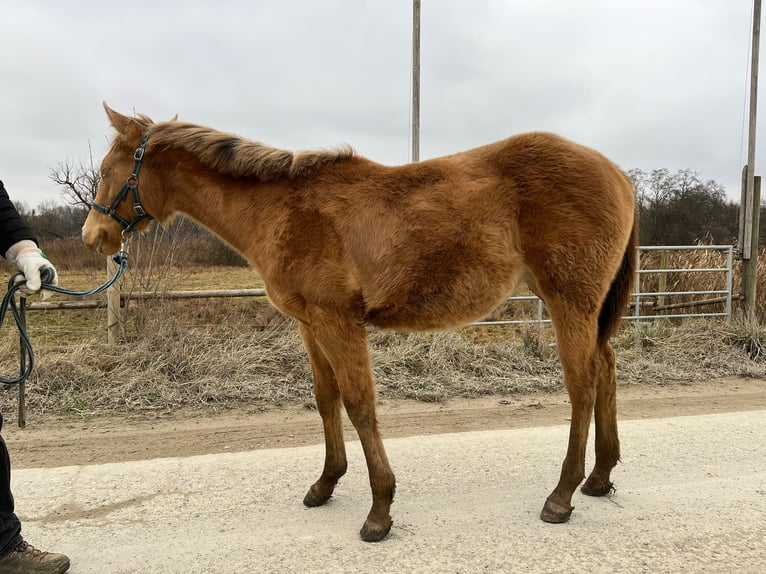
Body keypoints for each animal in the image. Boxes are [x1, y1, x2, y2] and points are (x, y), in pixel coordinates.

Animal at [82, 103, 638, 542]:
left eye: (109, 169)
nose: (94, 236)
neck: (283, 210)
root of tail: (617, 173)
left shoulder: (338, 323)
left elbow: (359, 405)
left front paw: (379, 510)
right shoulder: (310, 325)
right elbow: (326, 399)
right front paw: (326, 483)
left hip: (570, 301)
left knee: (583, 385)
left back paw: (562, 495)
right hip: (583, 306)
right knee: (607, 371)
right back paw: (599, 477)